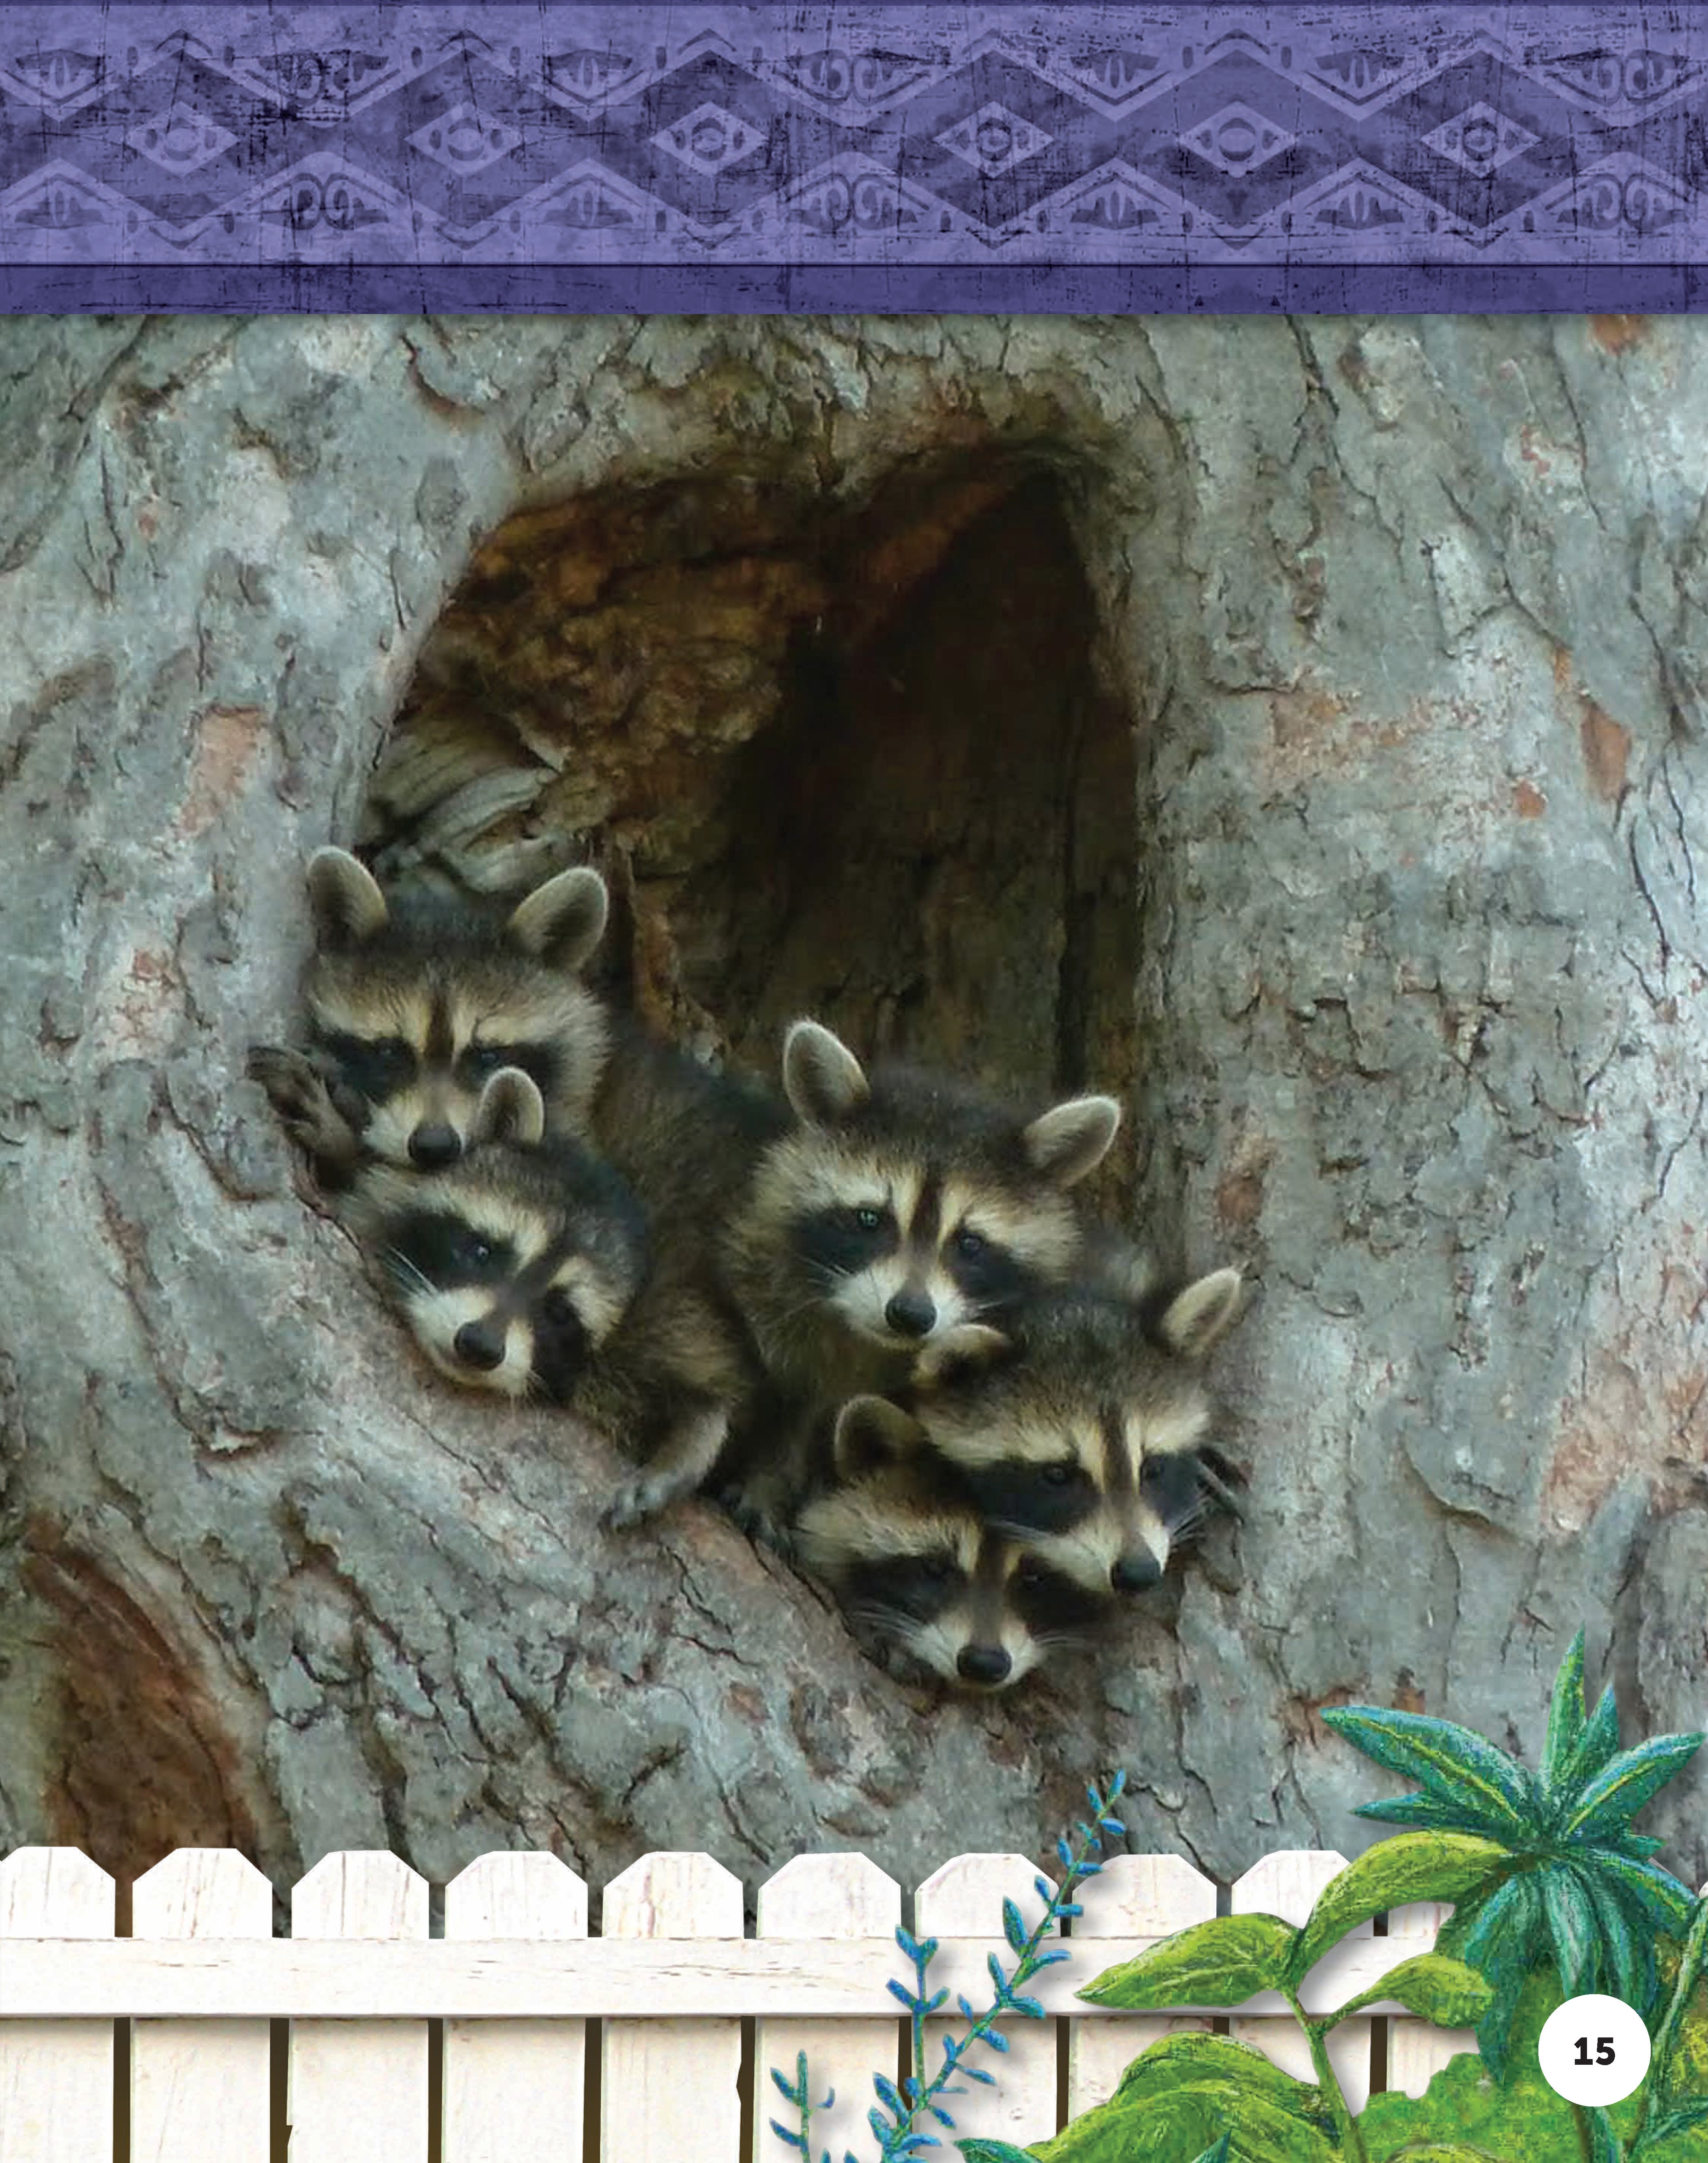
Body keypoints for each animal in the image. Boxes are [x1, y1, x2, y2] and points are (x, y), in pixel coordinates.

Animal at [348, 1068, 752, 1529]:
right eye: (482, 1251)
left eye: (558, 1311)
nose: (479, 1345)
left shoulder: (673, 1316)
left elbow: (708, 1390)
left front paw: (687, 1448)